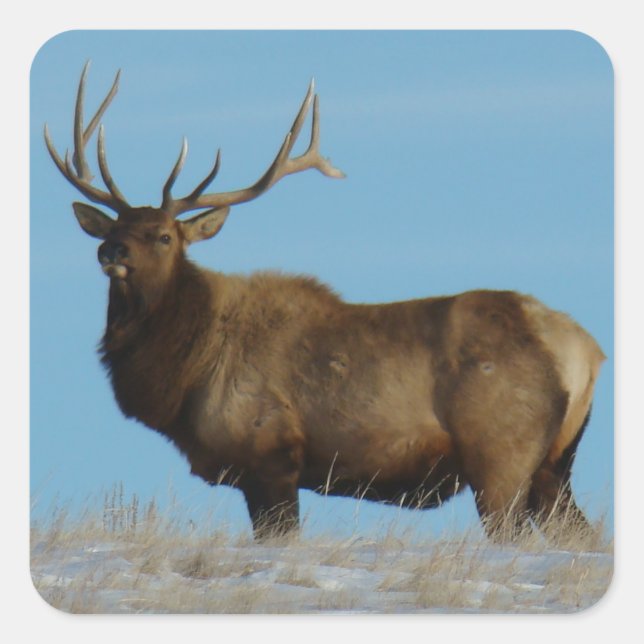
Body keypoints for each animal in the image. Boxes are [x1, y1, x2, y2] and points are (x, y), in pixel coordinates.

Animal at [44, 62, 605, 541]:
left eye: (163, 236)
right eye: (114, 227)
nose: (111, 251)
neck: (185, 377)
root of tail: (587, 352)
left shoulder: (270, 454)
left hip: (501, 452)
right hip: (553, 463)